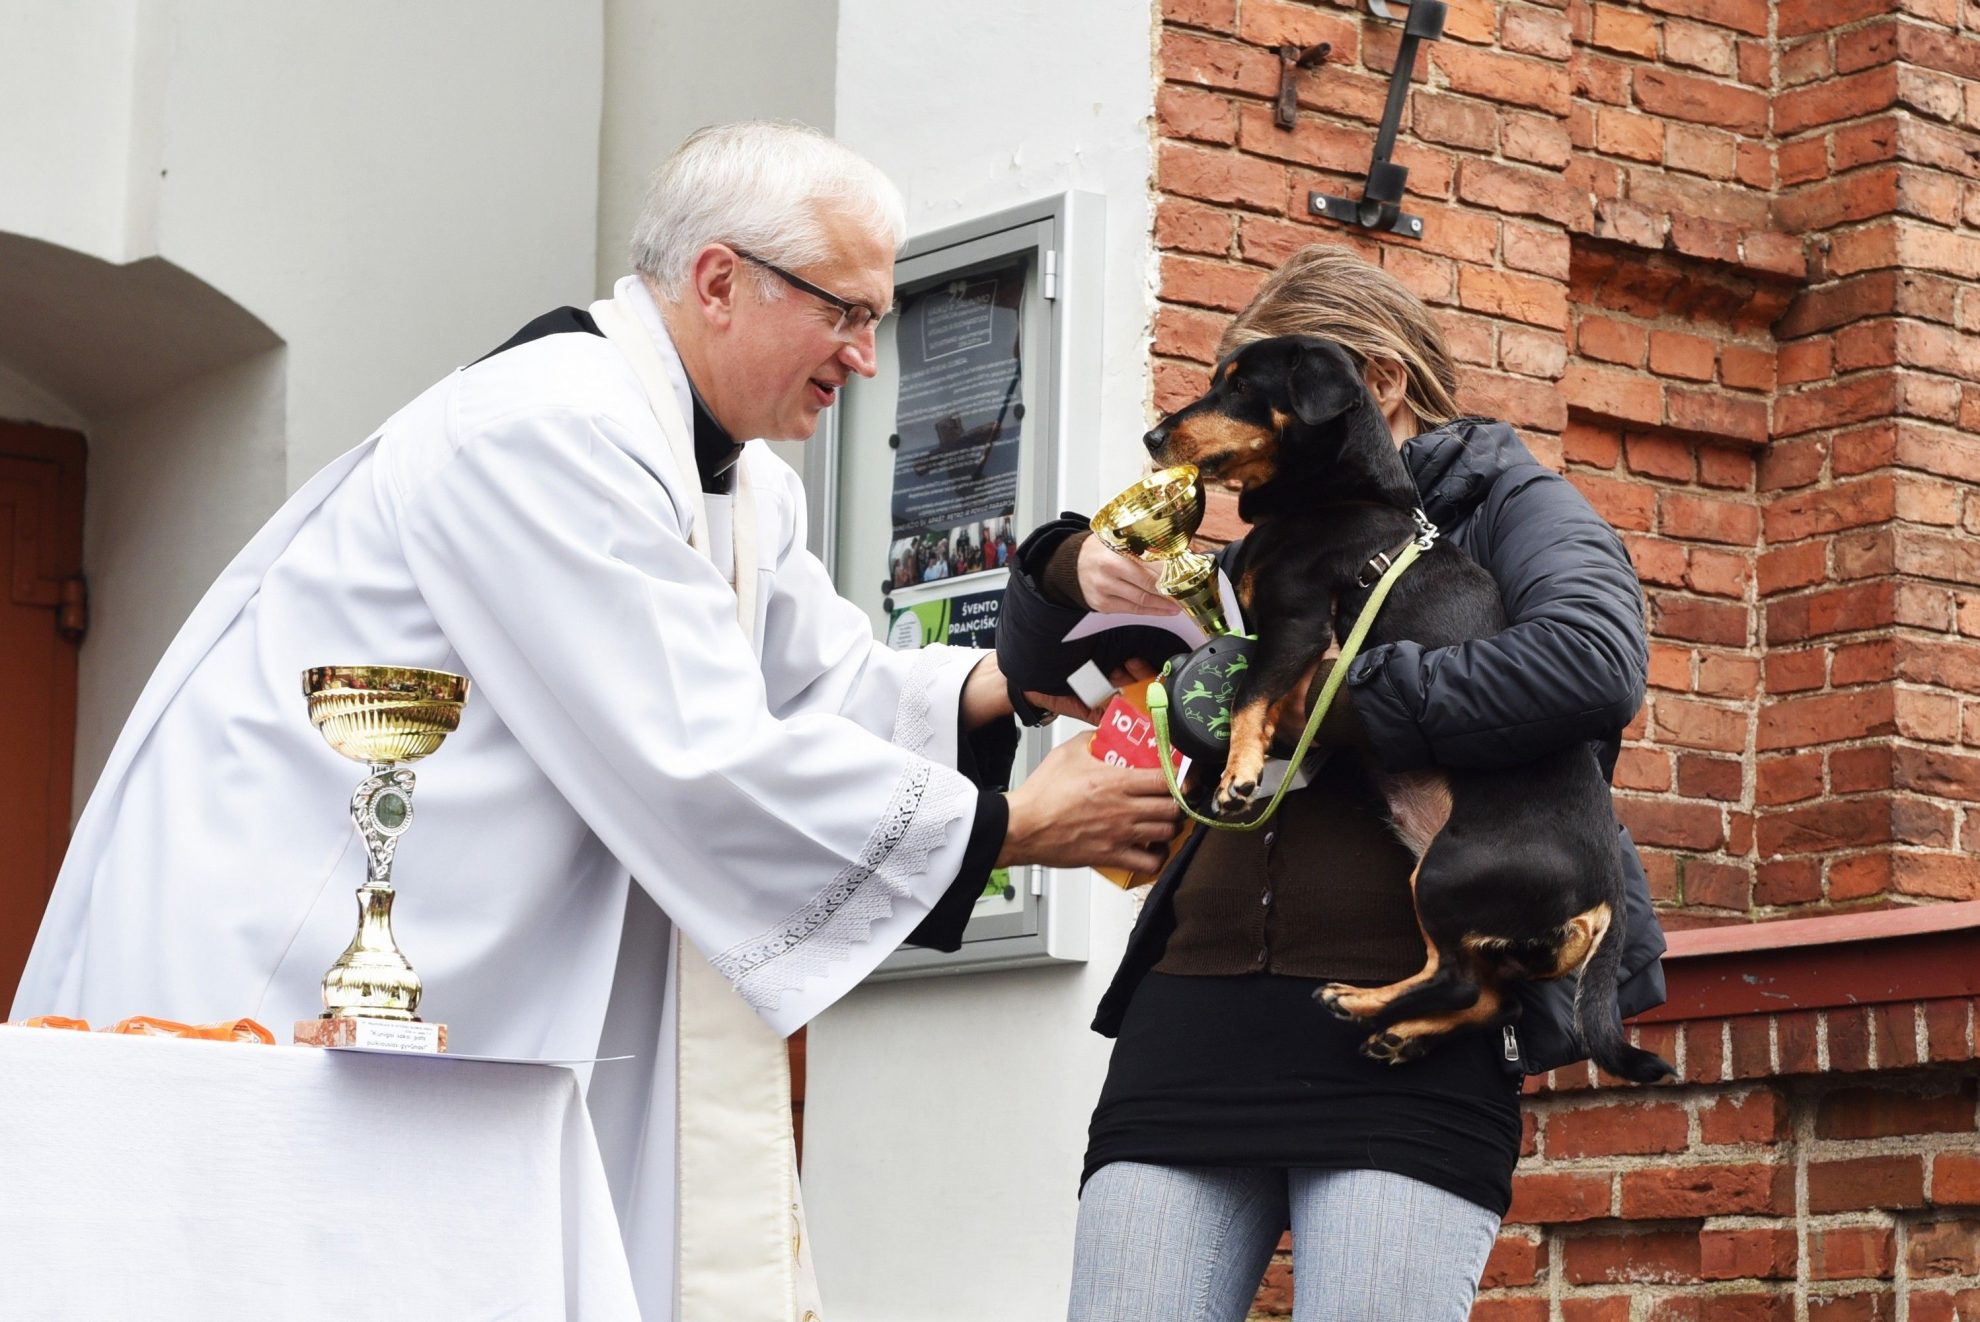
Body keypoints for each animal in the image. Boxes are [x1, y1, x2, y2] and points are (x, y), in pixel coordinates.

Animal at [1148, 332, 1671, 1084]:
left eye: (1242, 386)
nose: (1151, 437)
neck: (1336, 500)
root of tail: (1603, 892)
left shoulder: (1296, 624)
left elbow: (1250, 695)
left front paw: (1237, 777)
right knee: (1490, 999)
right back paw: (1399, 1032)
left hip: (1449, 872)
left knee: (1455, 980)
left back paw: (1358, 1001)